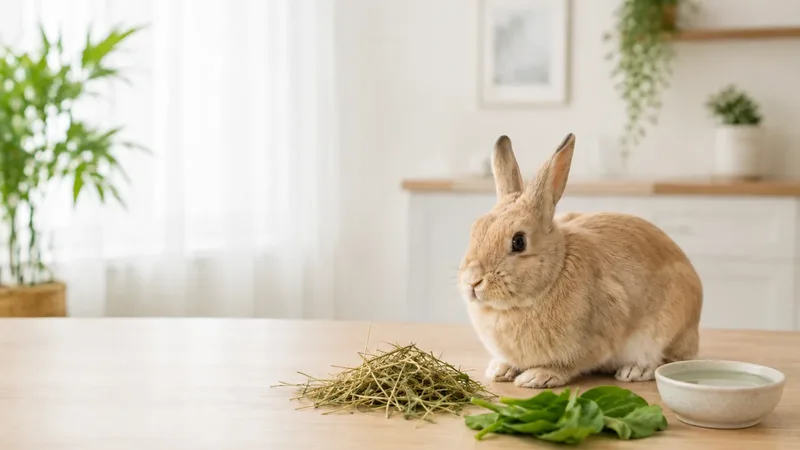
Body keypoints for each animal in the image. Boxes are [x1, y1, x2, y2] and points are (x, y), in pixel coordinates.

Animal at [457, 133, 703, 389]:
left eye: (518, 242)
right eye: (475, 229)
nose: (472, 281)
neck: (554, 273)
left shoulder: (598, 335)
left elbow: (570, 364)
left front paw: (537, 376)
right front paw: (499, 369)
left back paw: (635, 370)